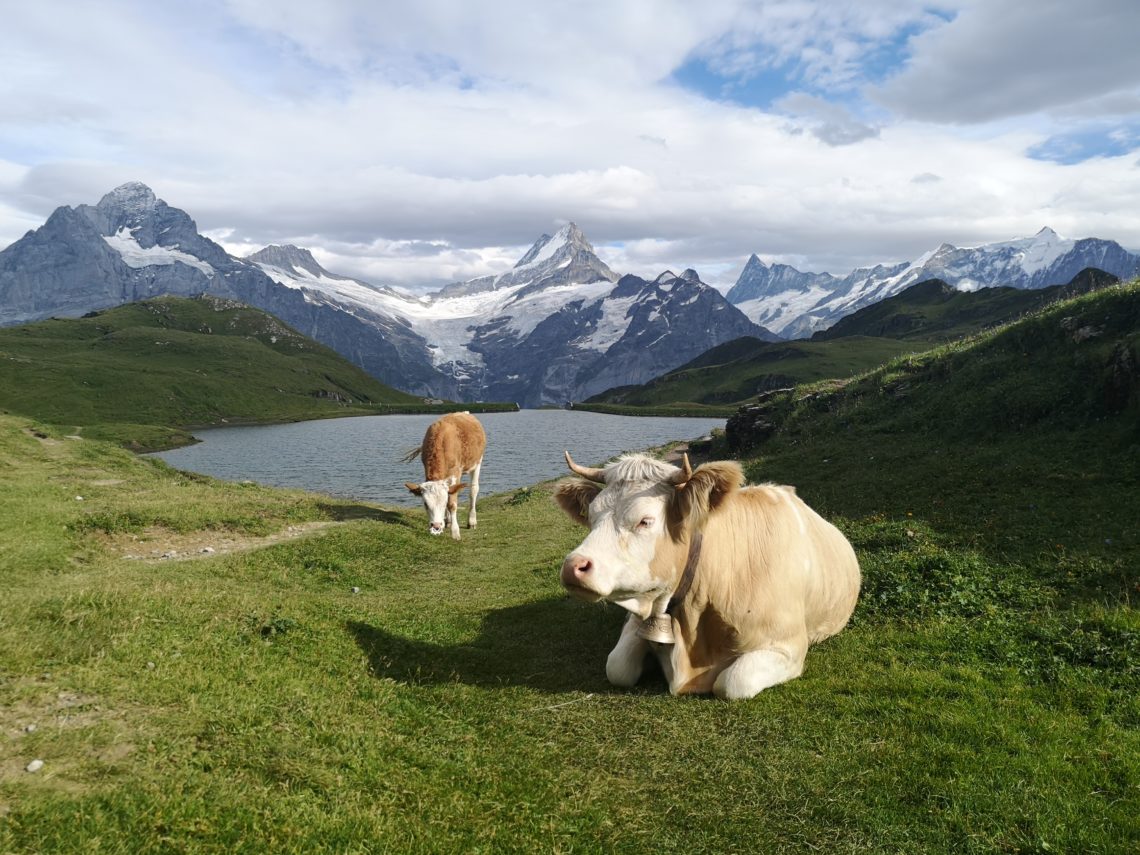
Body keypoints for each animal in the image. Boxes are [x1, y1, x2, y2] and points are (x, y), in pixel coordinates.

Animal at [556, 451, 857, 697]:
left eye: (645, 521)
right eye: (591, 516)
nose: (573, 566)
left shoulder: (788, 646)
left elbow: (732, 682)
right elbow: (617, 667)